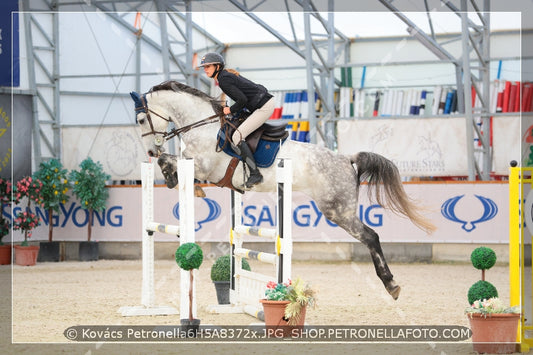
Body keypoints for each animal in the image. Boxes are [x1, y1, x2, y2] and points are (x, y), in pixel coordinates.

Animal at [131, 80, 434, 300]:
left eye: (141, 120)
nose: (149, 151)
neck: (201, 125)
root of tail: (346, 158)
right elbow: (172, 162)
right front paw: (185, 185)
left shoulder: (205, 167)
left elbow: (170, 160)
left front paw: (173, 177)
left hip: (338, 210)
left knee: (371, 237)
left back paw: (391, 285)